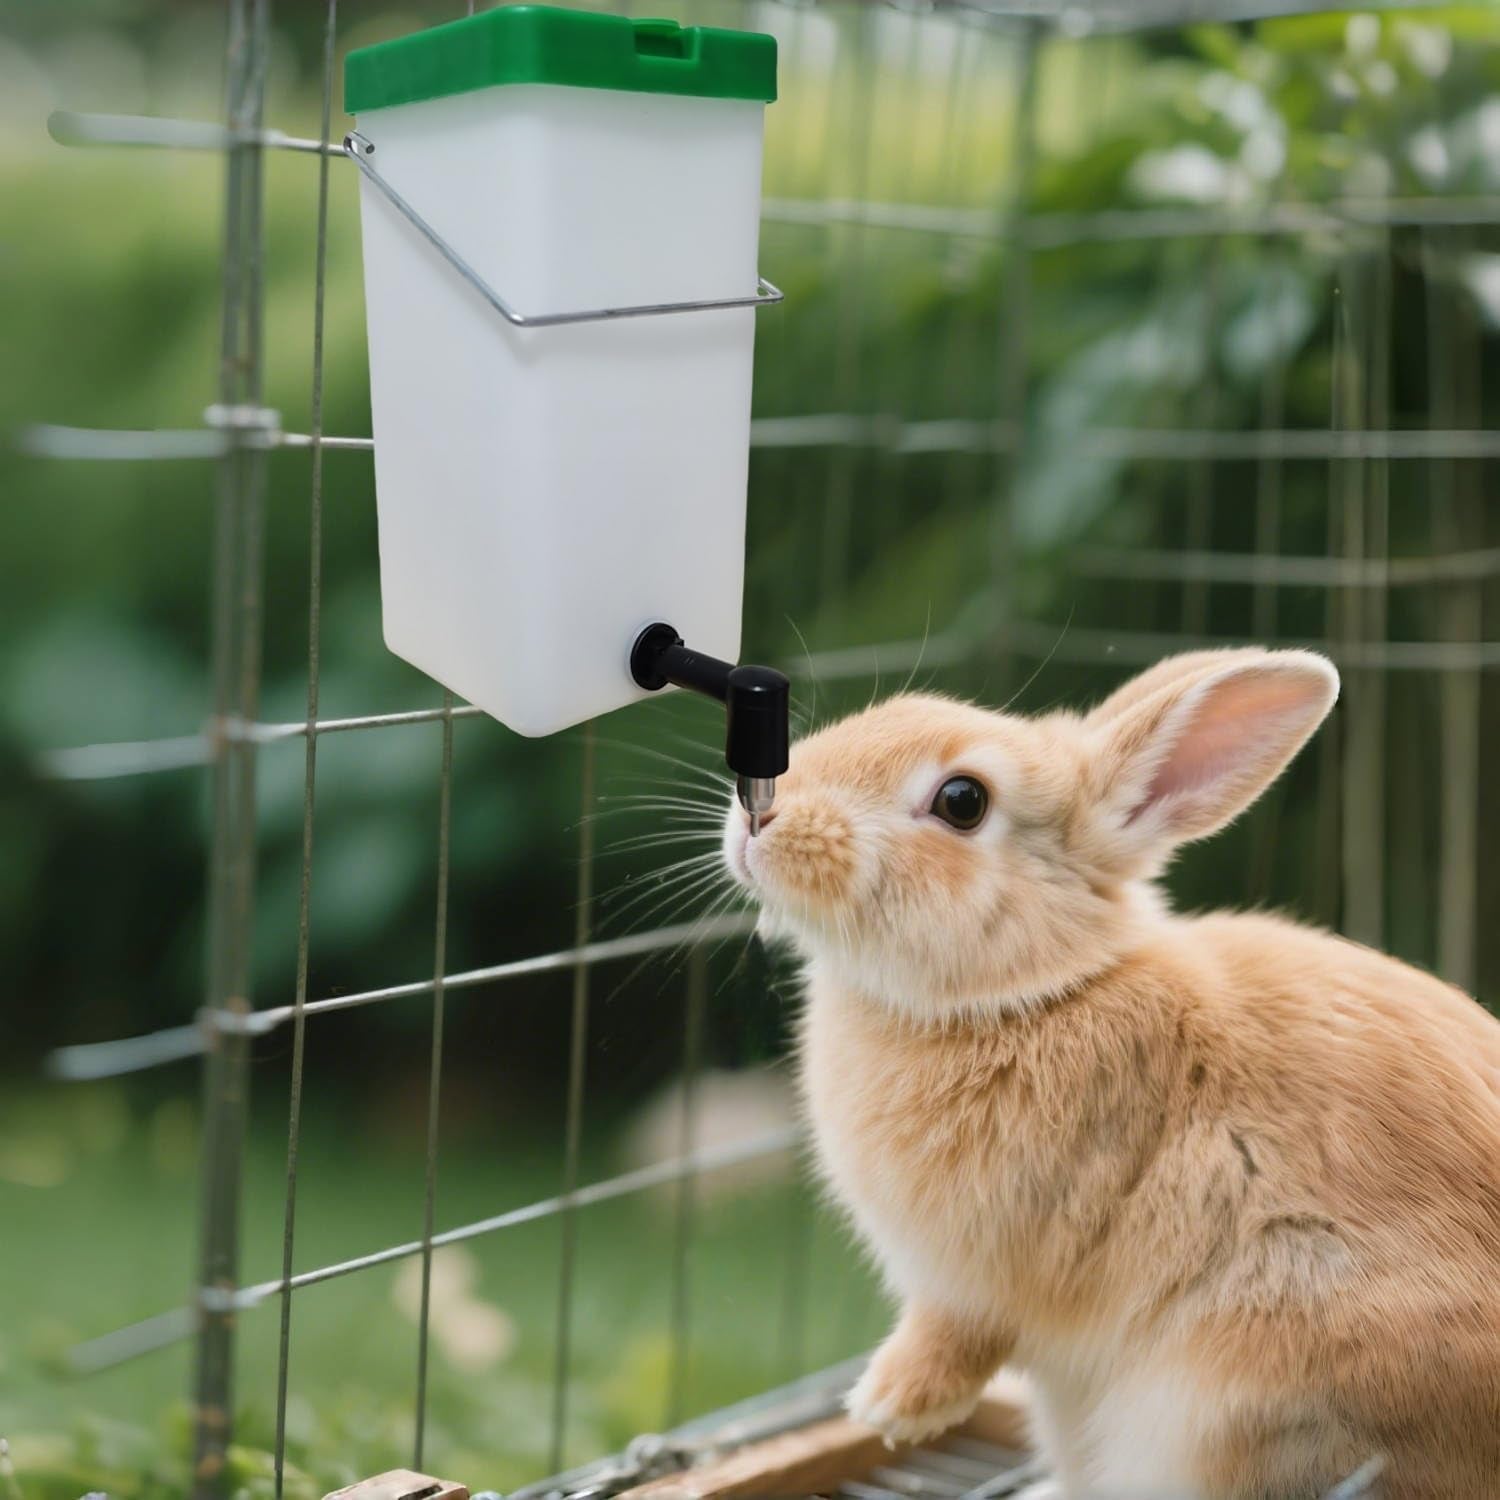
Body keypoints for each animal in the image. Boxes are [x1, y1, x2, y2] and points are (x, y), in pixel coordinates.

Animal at [720, 648, 1500, 1499]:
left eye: (963, 801)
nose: (759, 816)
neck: (1033, 992)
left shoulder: (979, 1269)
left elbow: (956, 1334)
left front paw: (891, 1407)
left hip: (1238, 1399)